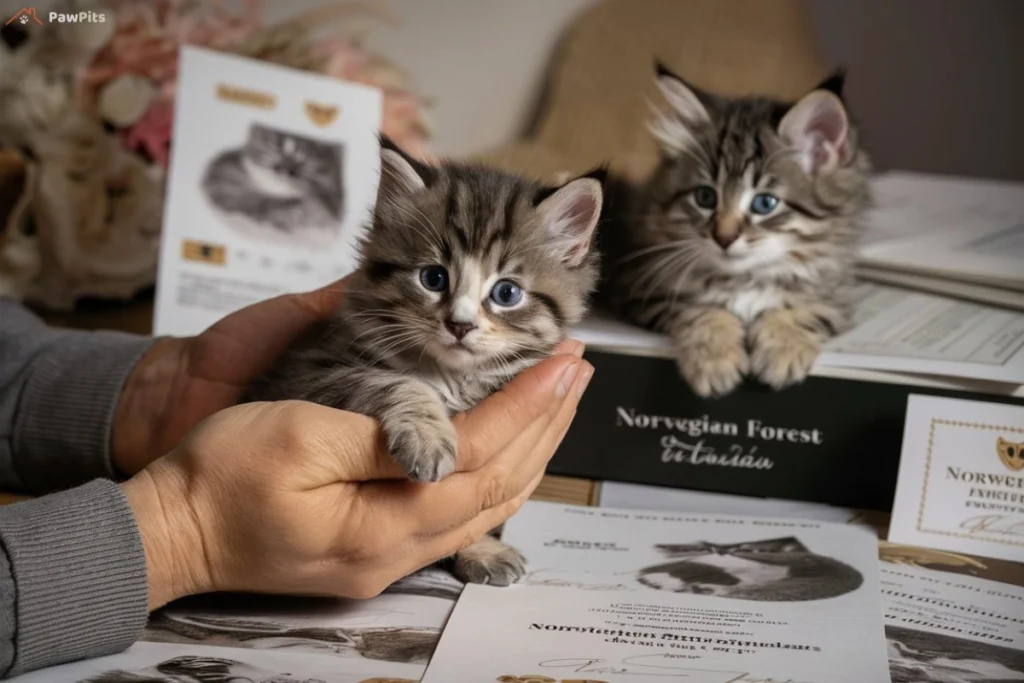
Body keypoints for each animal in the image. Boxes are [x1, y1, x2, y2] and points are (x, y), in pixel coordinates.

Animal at [244, 140, 602, 589]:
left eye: (506, 293)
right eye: (433, 278)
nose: (460, 325)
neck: (452, 376)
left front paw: (481, 549)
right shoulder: (305, 372)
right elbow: (395, 382)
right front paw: (427, 438)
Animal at [598, 65, 872, 395]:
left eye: (764, 203)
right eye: (705, 197)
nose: (724, 238)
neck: (745, 280)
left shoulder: (836, 297)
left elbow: (799, 312)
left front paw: (783, 352)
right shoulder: (640, 288)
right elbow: (704, 313)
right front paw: (715, 364)